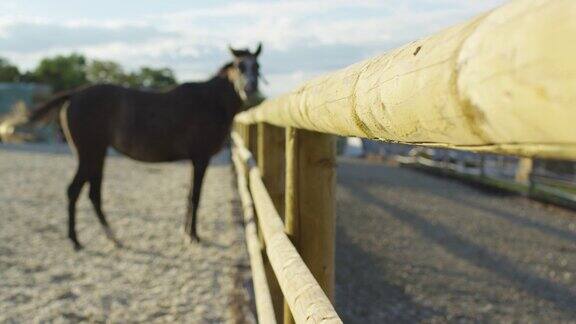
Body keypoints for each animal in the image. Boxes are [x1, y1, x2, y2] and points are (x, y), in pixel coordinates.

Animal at [23, 43, 264, 251]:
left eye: (257, 67)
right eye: (239, 66)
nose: (249, 87)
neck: (210, 101)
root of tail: (74, 94)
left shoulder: (195, 161)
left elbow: (189, 196)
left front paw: (186, 233)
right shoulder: (201, 158)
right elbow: (195, 197)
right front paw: (193, 236)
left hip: (96, 154)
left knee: (92, 193)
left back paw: (112, 238)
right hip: (90, 153)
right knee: (75, 191)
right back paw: (76, 241)